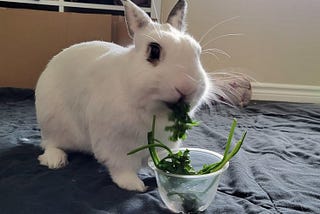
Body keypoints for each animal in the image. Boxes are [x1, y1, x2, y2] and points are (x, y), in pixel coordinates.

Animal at [35, 0, 211, 191]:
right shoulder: (115, 145)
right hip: (52, 123)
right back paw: (55, 160)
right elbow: (122, 168)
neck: (152, 111)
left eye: (197, 51)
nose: (187, 87)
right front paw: (135, 185)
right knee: (49, 143)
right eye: (154, 51)